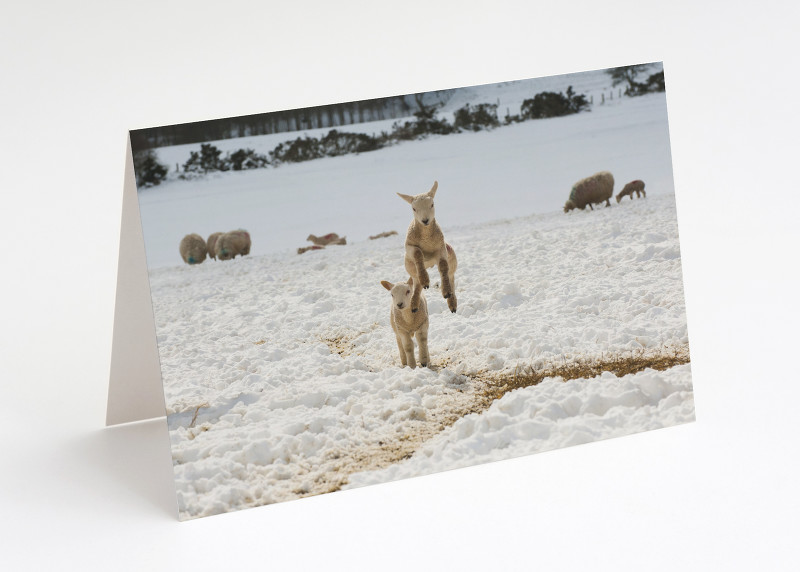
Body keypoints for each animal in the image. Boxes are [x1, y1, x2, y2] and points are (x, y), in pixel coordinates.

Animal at [398, 180, 460, 312]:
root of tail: (430, 265)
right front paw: (425, 279)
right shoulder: (409, 246)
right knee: (417, 282)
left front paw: (446, 292)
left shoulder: (440, 247)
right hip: (410, 267)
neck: (426, 239)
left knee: (451, 276)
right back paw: (415, 302)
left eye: (432, 204)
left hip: (452, 260)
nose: (425, 220)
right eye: (414, 208)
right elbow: (418, 253)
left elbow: (443, 266)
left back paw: (452, 302)